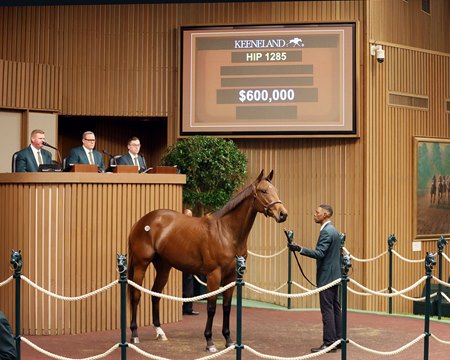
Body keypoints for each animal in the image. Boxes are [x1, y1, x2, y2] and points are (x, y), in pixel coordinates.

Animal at [126, 171, 288, 352]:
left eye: (275, 190)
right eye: (263, 191)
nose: (283, 214)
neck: (227, 233)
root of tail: (141, 222)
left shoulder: (231, 277)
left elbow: (226, 307)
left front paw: (229, 340)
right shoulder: (213, 276)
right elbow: (211, 307)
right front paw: (209, 342)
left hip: (163, 267)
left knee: (156, 294)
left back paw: (160, 332)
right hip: (141, 264)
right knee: (136, 295)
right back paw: (134, 334)